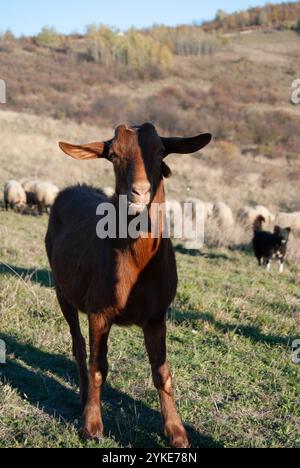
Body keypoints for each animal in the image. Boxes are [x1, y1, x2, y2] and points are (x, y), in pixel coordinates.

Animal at [45, 122, 212, 448]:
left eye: (160, 150)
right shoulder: (99, 312)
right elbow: (98, 367)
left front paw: (177, 432)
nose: (141, 191)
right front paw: (92, 425)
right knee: (78, 344)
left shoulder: (157, 316)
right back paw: (84, 399)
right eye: (113, 155)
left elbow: (162, 373)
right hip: (61, 290)